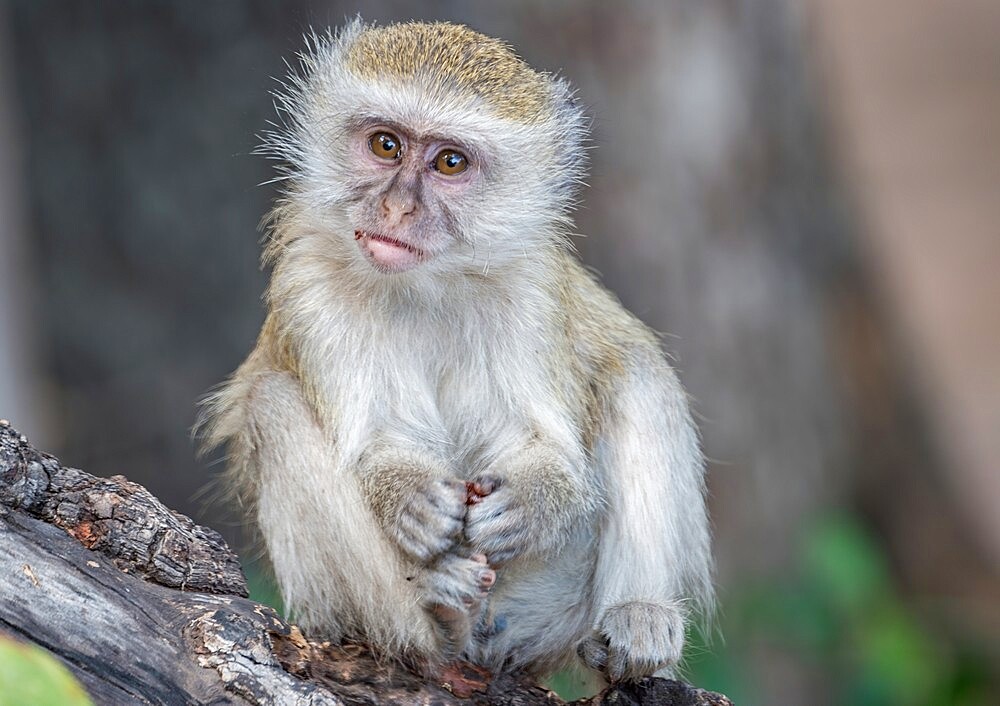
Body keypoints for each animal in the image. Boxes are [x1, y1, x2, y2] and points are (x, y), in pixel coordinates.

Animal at [203, 20, 716, 680]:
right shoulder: (309, 287)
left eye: (450, 162)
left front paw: (532, 502)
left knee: (637, 370)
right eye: (386, 145)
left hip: (551, 602)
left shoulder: (533, 292)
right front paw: (410, 499)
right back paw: (438, 618)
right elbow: (376, 440)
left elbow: (545, 444)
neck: (428, 287)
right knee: (272, 405)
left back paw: (638, 616)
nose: (397, 207)